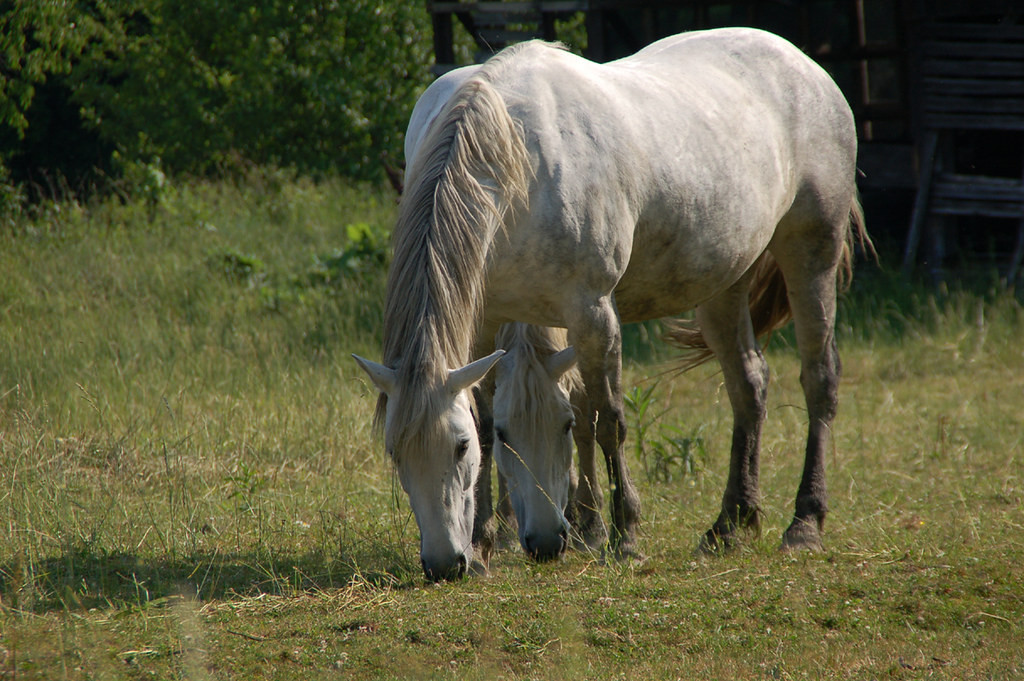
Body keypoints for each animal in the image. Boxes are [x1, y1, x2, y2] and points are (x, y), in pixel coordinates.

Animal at [354, 27, 869, 581]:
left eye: (457, 447)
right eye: (395, 453)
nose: (444, 564)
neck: (516, 161)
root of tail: (803, 64)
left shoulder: (593, 314)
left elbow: (604, 421)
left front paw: (622, 537)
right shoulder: (488, 324)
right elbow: (506, 417)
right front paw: (488, 543)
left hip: (811, 253)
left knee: (819, 378)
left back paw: (805, 523)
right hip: (723, 285)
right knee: (748, 385)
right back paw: (730, 524)